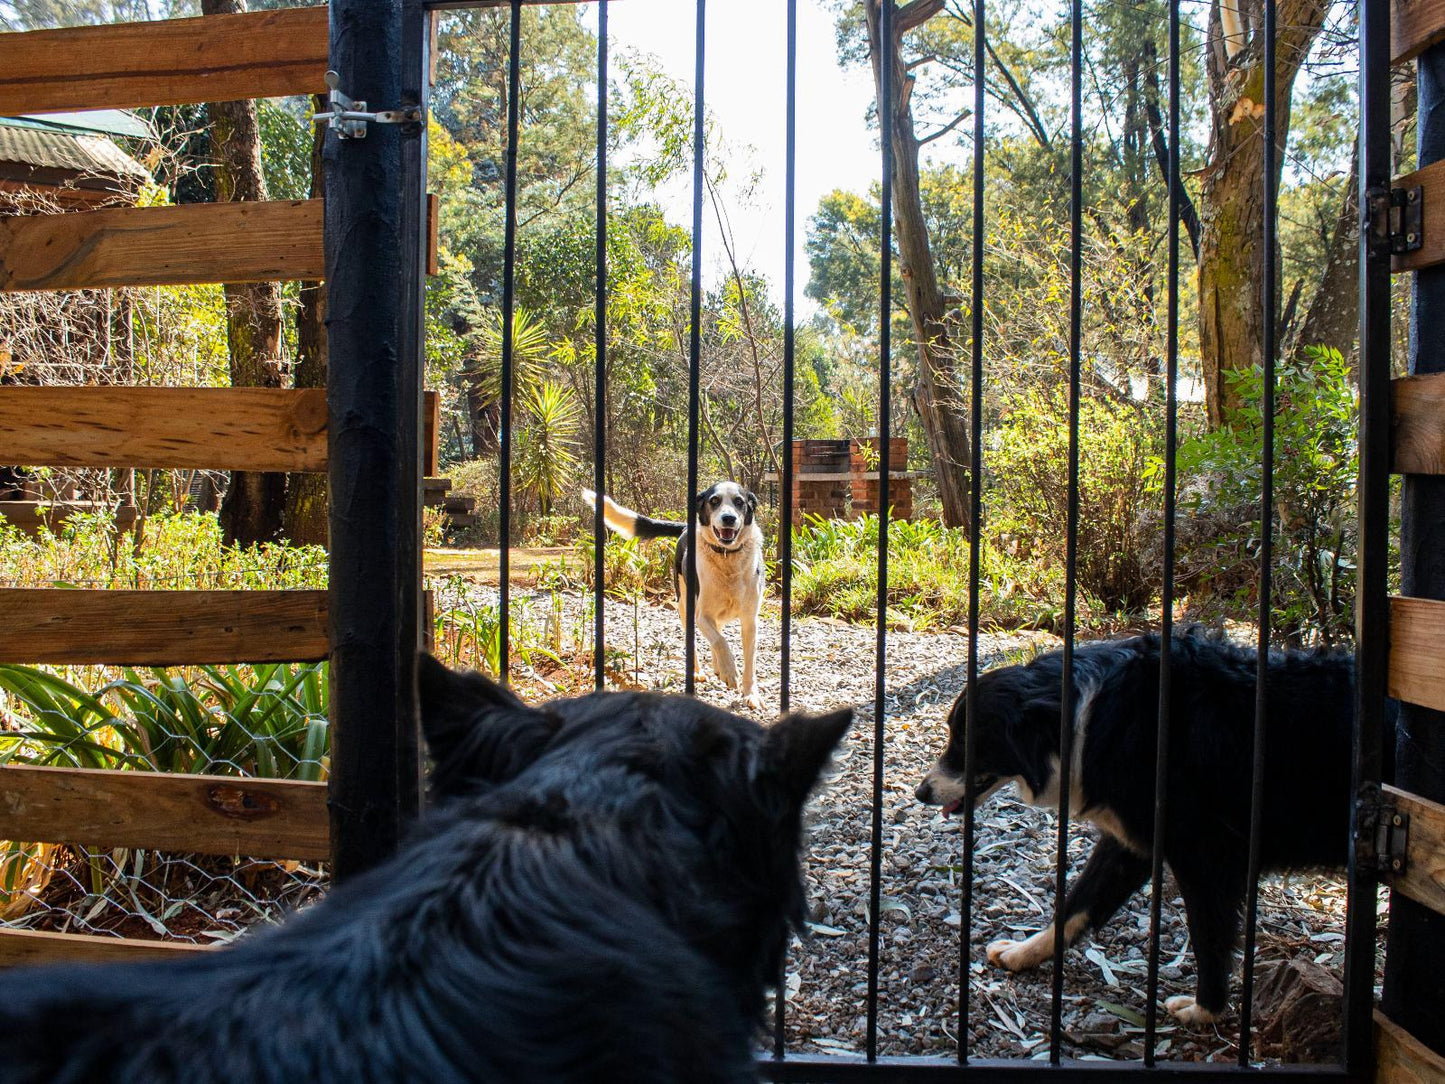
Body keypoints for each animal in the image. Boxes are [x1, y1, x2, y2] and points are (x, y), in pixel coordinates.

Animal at [583, 485, 768, 713]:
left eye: (739, 502)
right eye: (714, 501)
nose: (728, 518)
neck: (727, 556)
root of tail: (686, 528)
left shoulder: (750, 621)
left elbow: (748, 661)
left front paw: (751, 694)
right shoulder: (702, 616)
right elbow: (720, 640)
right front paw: (729, 671)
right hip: (684, 606)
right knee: (701, 639)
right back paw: (699, 671)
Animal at [919, 633, 1369, 1029]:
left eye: (965, 740)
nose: (922, 792)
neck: (1086, 718)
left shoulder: (1203, 858)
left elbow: (1208, 937)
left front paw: (1206, 1010)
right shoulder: (1130, 842)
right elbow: (1077, 904)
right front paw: (1024, 952)